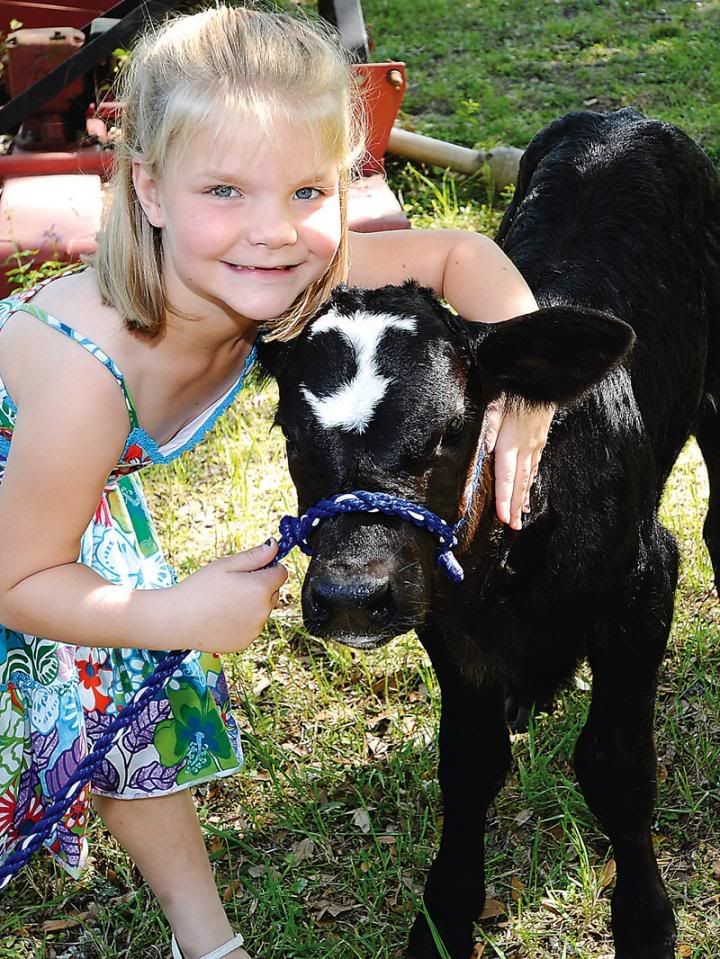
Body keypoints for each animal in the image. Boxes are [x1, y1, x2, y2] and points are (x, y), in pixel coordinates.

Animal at [258, 112, 720, 959]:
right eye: (290, 434)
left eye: (450, 430)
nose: (351, 596)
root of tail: (622, 118)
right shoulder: (443, 618)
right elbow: (468, 764)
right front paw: (442, 919)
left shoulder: (645, 581)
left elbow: (617, 766)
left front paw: (646, 922)